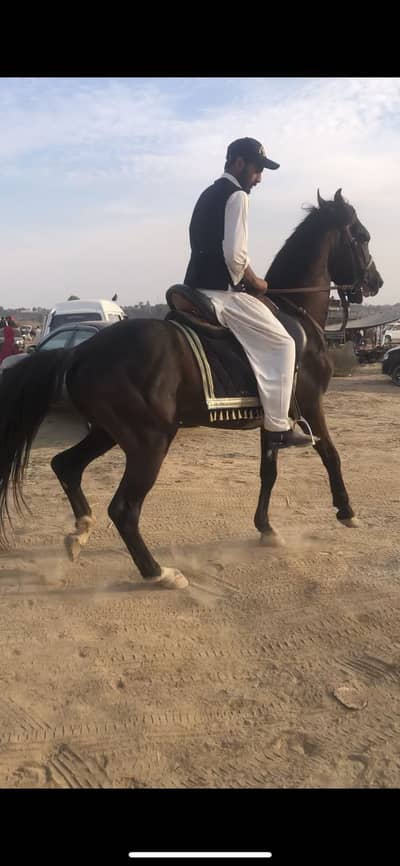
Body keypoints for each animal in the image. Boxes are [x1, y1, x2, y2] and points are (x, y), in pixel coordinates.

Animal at [0, 189, 383, 589]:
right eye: (362, 236)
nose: (376, 282)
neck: (294, 310)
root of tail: (80, 350)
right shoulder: (309, 403)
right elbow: (330, 453)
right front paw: (346, 511)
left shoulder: (274, 415)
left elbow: (269, 471)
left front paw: (266, 528)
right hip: (150, 441)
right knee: (123, 509)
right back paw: (158, 573)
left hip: (108, 432)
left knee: (66, 466)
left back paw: (80, 533)